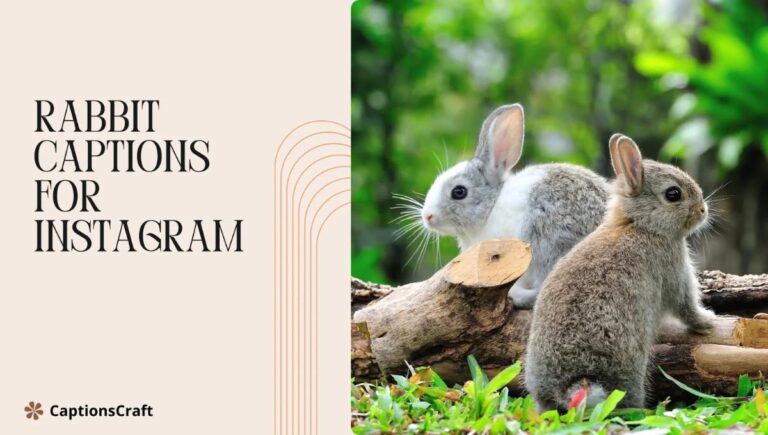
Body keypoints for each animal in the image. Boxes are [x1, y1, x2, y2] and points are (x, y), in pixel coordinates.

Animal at [524, 134, 716, 412]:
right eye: (673, 194)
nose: (703, 210)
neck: (640, 224)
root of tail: (574, 383)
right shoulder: (674, 271)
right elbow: (686, 306)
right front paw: (708, 321)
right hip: (630, 369)